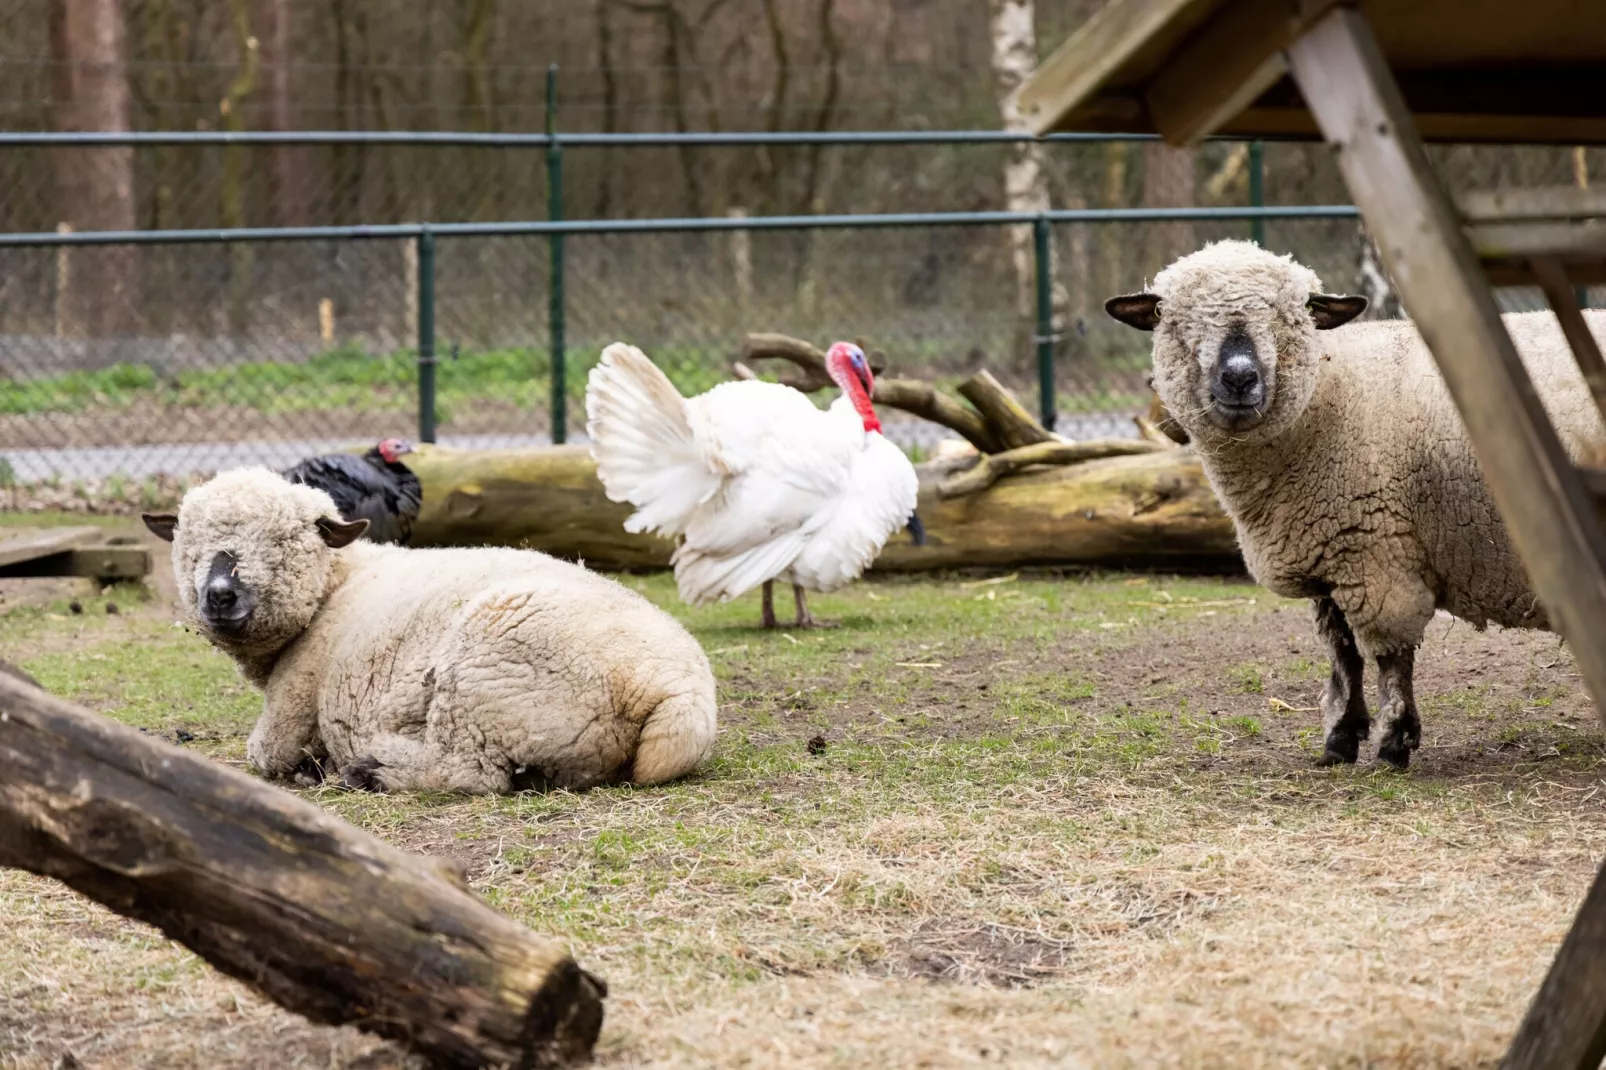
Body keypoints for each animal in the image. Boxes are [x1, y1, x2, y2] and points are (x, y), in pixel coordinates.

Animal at [147, 465, 719, 790]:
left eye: (284, 540)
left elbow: (266, 755)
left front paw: (312, 767)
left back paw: (370, 770)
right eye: (186, 539)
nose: (220, 595)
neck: (339, 582)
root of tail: (676, 693)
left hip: (483, 679)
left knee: (472, 773)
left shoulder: (293, 706)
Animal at [1104, 239, 1606, 767]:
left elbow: (1390, 658)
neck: (1329, 396)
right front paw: (1340, 739)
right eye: (1174, 320)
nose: (1240, 378)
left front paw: (1393, 742)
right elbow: (1342, 652)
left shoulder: (1378, 556)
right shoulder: (1330, 557)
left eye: (1294, 316)